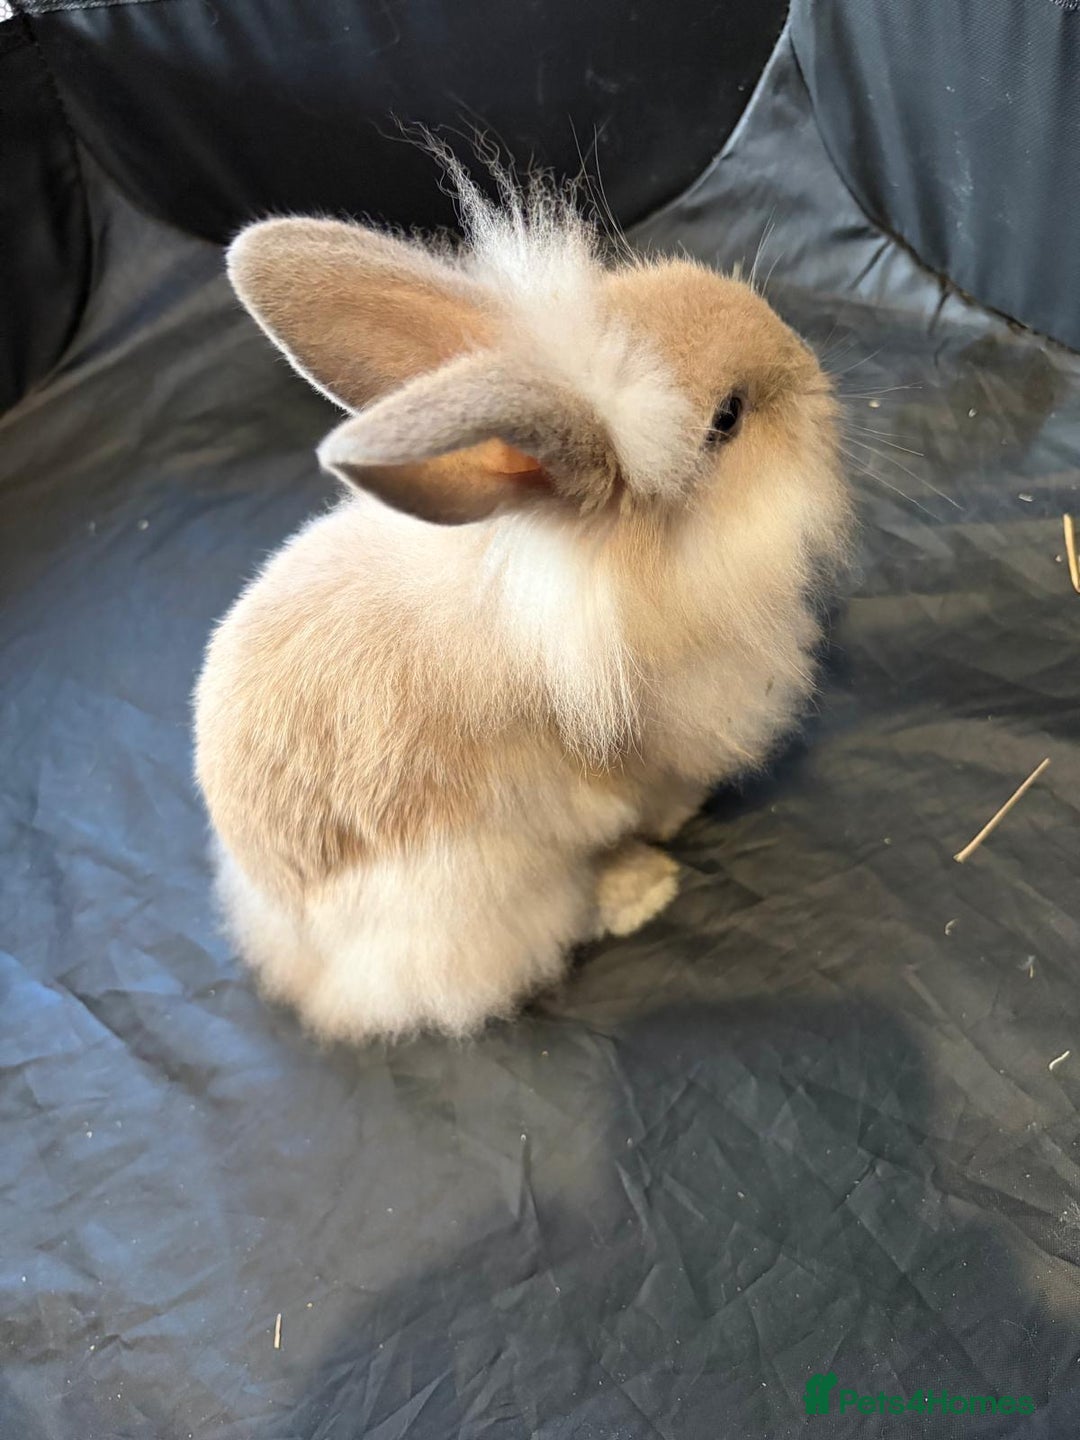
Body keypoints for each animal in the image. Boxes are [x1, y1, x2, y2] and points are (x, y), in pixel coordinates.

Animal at [194, 169, 852, 1044]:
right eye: (726, 419)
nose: (810, 366)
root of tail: (287, 941)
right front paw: (665, 843)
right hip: (480, 891)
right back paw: (641, 891)